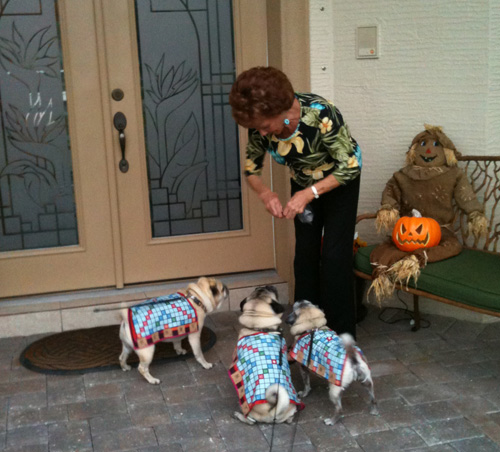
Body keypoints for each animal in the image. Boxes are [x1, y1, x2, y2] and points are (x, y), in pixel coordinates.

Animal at [229, 288, 302, 426]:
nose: (269, 285)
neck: (260, 327)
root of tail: (273, 410)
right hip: (291, 409)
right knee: (290, 417)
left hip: (250, 412)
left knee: (250, 421)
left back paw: (239, 415)